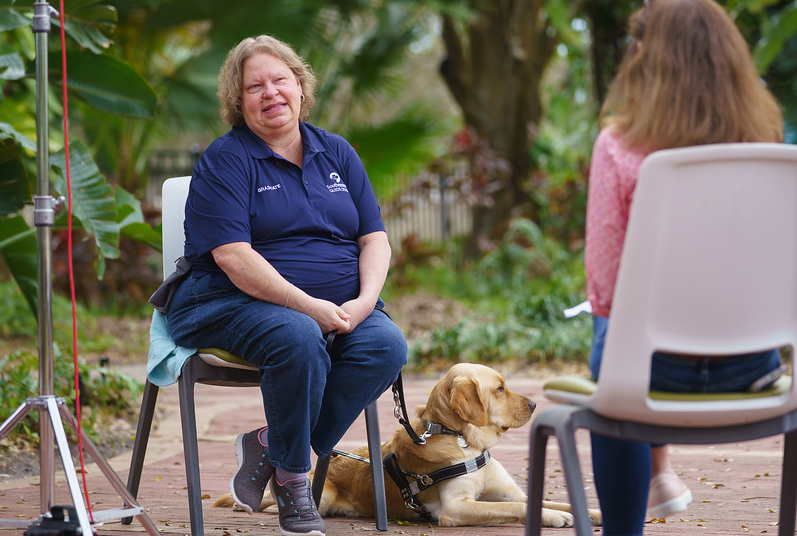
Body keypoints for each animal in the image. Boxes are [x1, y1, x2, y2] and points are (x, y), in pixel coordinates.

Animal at [215, 362, 600, 524]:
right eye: (500, 388)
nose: (535, 404)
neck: (462, 440)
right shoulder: (455, 509)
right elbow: (516, 510)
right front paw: (555, 518)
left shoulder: (508, 492)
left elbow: (550, 501)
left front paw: (588, 513)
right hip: (317, 498)